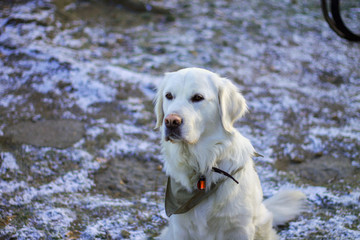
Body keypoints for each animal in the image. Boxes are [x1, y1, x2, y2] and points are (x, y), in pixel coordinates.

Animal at [155, 68, 306, 240]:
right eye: (169, 96)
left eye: (198, 97)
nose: (171, 121)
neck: (203, 163)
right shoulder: (180, 228)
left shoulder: (240, 228)